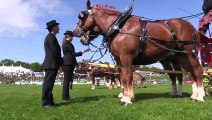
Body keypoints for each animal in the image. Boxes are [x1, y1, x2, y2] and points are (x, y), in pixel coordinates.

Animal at [73, 0, 205, 105]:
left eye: (81, 16)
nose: (75, 33)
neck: (119, 28)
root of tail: (191, 26)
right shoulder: (119, 60)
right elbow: (122, 77)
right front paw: (125, 95)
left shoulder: (126, 57)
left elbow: (128, 76)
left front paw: (127, 99)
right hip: (181, 57)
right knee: (190, 73)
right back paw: (192, 95)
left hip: (189, 54)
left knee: (198, 71)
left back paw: (200, 96)